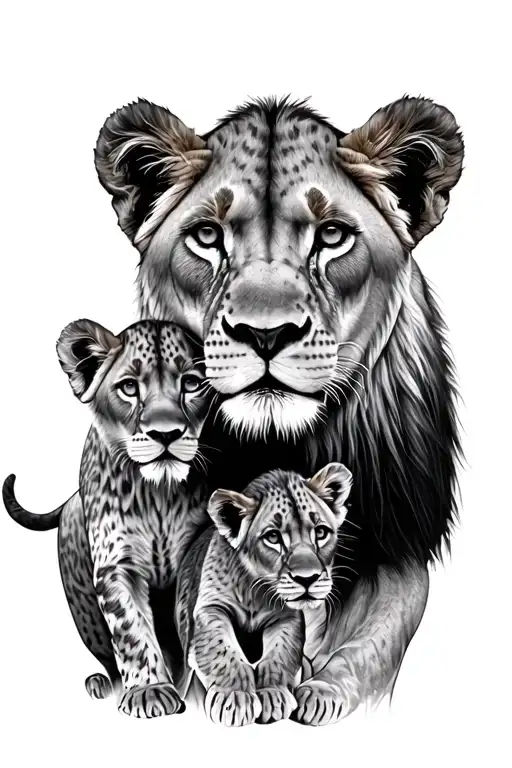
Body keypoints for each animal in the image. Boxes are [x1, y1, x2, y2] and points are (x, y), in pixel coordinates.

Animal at [92, 94, 464, 721]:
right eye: (208, 236)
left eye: (332, 235)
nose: (266, 334)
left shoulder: (399, 549)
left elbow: (373, 642)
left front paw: (322, 690)